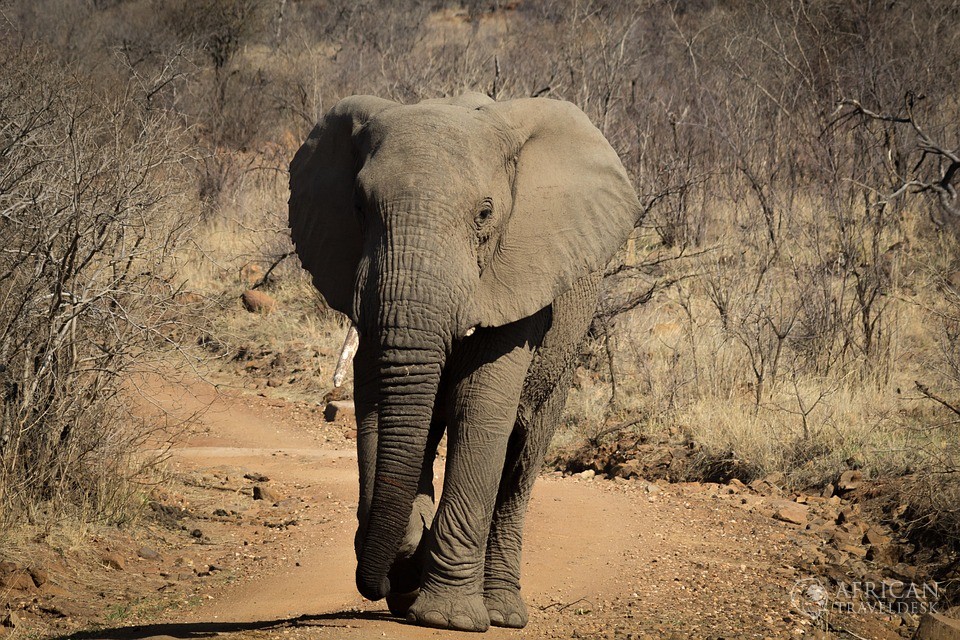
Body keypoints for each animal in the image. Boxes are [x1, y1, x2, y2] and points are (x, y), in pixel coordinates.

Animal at [288, 92, 640, 632]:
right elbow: (374, 402)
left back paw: (502, 612)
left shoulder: (518, 276)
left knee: (520, 463)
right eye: (359, 207)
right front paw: (411, 555)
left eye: (485, 213)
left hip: (566, 349)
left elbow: (481, 407)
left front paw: (447, 617)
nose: (378, 583)